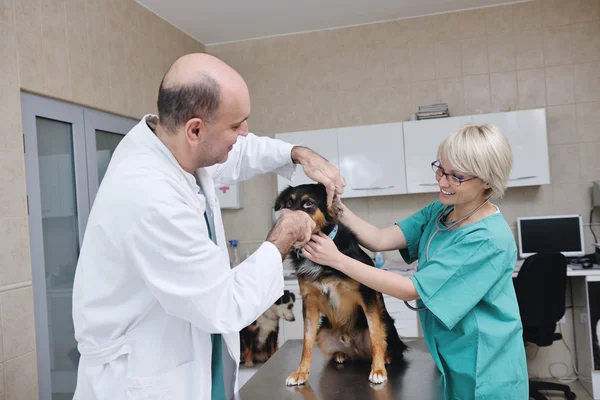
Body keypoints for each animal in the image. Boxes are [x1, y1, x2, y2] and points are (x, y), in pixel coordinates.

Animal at [274, 184, 408, 384]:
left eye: (308, 203)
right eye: (289, 204)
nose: (288, 224)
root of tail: (358, 351)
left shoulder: (367, 295)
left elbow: (375, 335)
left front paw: (378, 370)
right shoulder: (309, 302)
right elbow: (306, 341)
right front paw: (300, 372)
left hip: (386, 322)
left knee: (392, 344)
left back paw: (387, 357)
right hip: (323, 332)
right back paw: (341, 355)